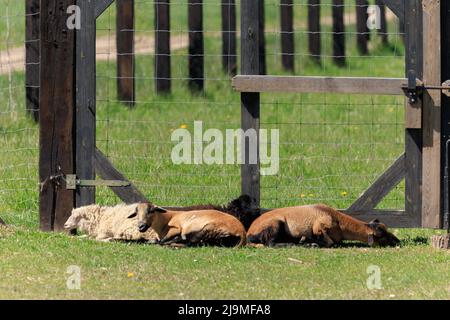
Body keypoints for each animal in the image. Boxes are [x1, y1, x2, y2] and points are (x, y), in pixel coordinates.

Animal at [246, 205, 400, 248]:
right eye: (382, 235)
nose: (398, 241)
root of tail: (249, 233)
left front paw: (306, 240)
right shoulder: (319, 227)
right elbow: (330, 243)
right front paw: (311, 243)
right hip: (275, 224)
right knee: (271, 243)